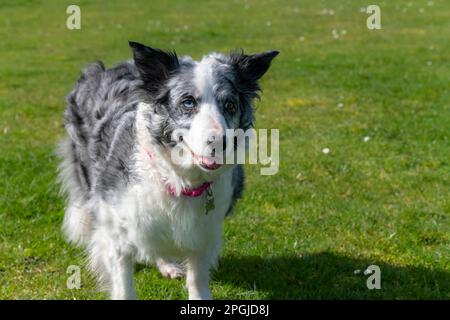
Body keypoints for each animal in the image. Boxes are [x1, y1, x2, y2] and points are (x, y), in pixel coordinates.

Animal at [58, 41, 278, 298]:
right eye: (188, 102)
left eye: (230, 105)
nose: (219, 142)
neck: (180, 180)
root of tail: (100, 69)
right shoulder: (116, 234)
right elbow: (124, 286)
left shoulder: (204, 233)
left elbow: (198, 281)